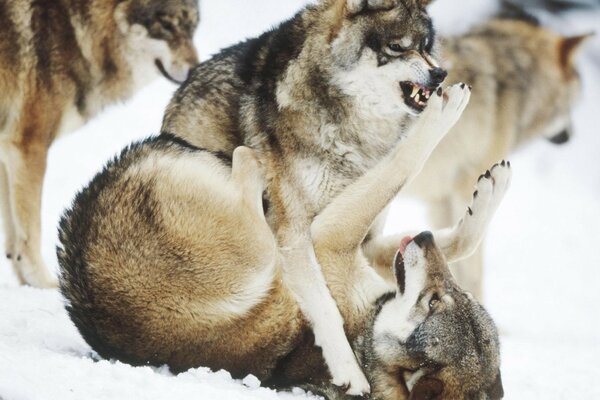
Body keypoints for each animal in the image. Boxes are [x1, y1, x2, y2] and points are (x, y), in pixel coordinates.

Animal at [0, 0, 200, 288]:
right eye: (165, 24)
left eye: (192, 27)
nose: (197, 68)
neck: (75, 31)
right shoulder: (28, 147)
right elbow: (30, 232)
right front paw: (45, 285)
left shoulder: (8, 150)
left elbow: (12, 237)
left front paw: (26, 285)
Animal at [57, 82, 506, 396]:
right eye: (453, 295)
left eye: (434, 302)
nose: (424, 236)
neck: (368, 332)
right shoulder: (346, 245)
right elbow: (455, 237)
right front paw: (491, 188)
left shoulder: (328, 239)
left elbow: (401, 168)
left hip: (257, 254)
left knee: (248, 175)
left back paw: (255, 167)